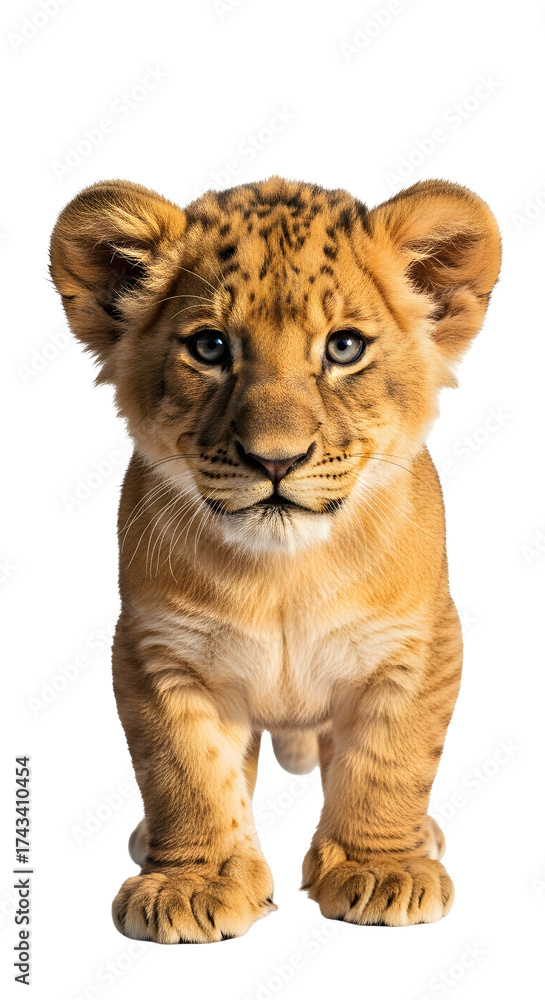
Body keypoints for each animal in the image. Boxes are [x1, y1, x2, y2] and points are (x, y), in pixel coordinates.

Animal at [50, 175, 501, 941]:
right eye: (209, 347)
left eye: (344, 347)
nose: (276, 460)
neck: (284, 574)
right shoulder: (157, 652)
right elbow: (185, 773)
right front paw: (190, 883)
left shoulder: (419, 645)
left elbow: (389, 761)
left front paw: (382, 869)